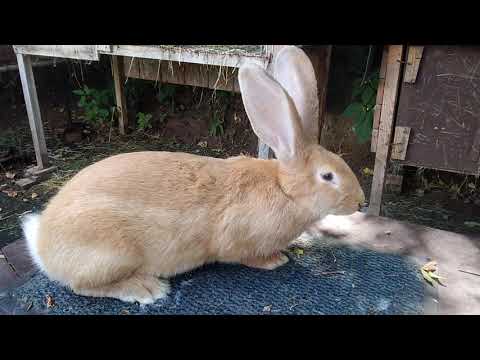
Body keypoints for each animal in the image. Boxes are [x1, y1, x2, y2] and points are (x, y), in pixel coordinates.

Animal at [19, 45, 364, 304]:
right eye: (328, 176)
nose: (360, 201)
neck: (285, 189)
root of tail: (42, 247)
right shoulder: (238, 240)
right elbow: (245, 256)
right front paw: (275, 261)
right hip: (109, 254)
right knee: (82, 286)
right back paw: (147, 289)